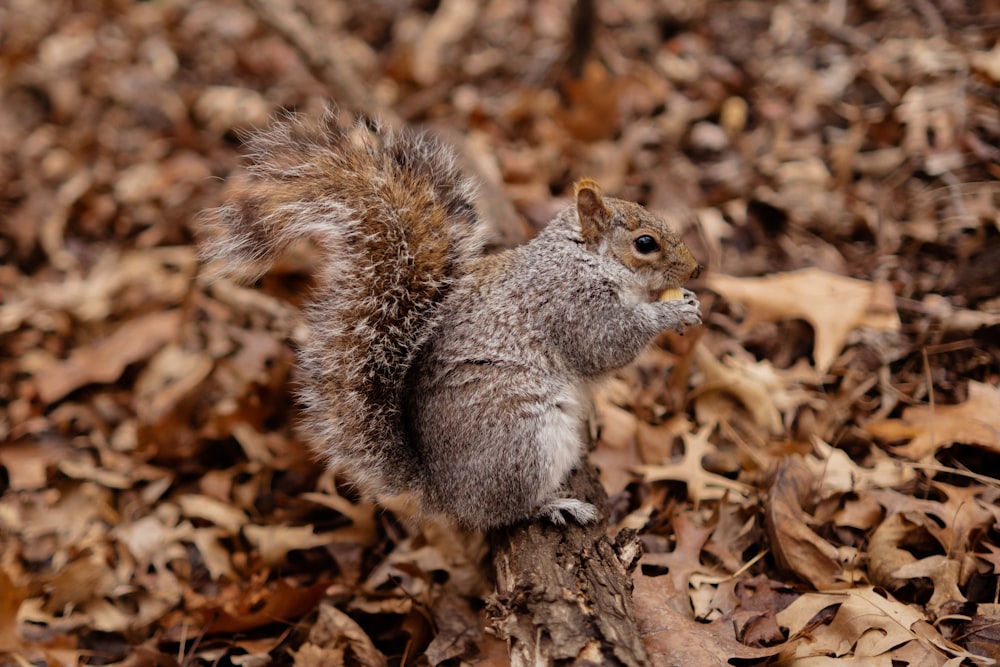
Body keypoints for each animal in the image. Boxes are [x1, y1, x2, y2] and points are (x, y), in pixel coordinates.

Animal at [205, 115, 704, 532]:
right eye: (645, 243)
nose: (696, 267)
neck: (585, 259)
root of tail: (444, 493)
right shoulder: (570, 305)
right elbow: (608, 344)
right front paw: (669, 312)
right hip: (523, 439)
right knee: (501, 513)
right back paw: (553, 505)